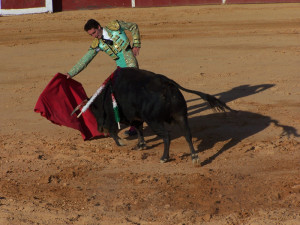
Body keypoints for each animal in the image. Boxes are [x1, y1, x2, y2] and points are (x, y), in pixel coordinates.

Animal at [88, 67, 233, 164]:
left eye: (95, 111)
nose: (100, 129)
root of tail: (167, 83)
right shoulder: (137, 117)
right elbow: (139, 130)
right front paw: (141, 145)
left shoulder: (125, 117)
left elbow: (120, 131)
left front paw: (124, 143)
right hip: (180, 116)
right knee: (187, 134)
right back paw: (194, 158)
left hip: (154, 121)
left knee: (166, 136)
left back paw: (164, 158)